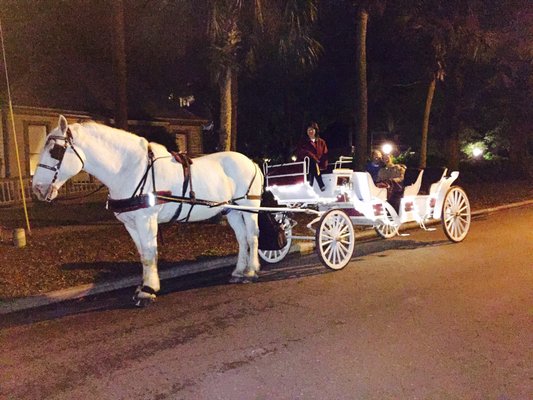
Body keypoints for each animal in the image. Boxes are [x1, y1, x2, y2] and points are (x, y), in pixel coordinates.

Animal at [32, 115, 262, 306]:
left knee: (252, 236)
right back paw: (239, 271)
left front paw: (148, 291)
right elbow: (143, 254)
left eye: (55, 151)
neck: (128, 169)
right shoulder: (131, 224)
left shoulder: (146, 219)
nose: (37, 188)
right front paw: (144, 286)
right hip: (232, 210)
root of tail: (251, 161)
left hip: (249, 206)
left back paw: (251, 271)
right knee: (241, 238)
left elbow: (151, 253)